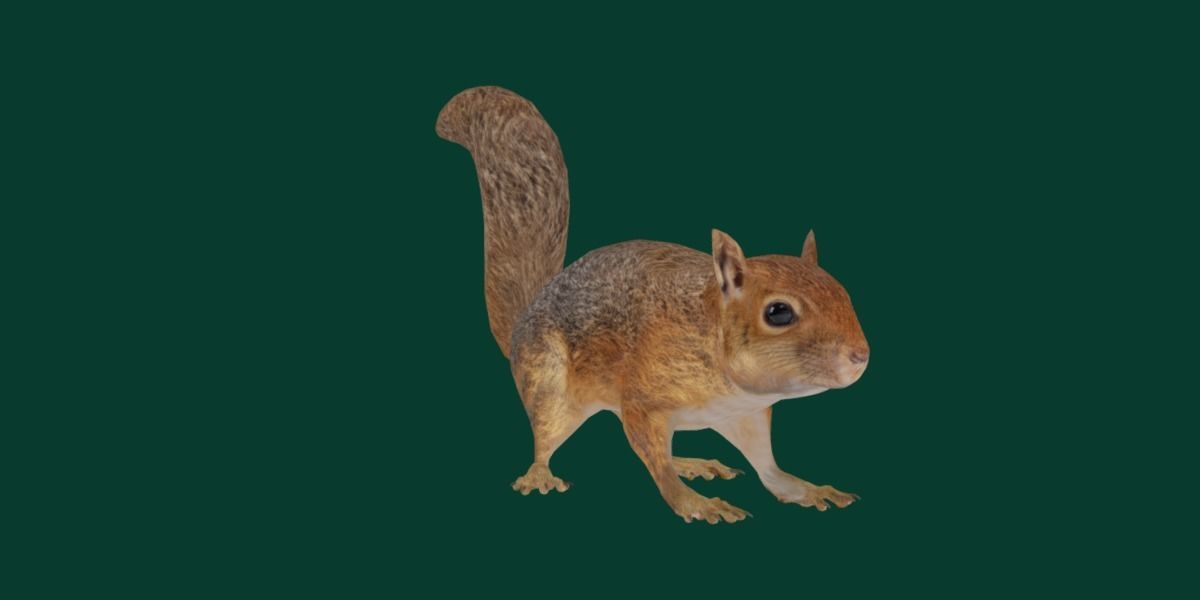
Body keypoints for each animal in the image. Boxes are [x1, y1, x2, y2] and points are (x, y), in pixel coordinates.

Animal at [436, 86, 869, 524]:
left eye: (844, 293)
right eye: (778, 312)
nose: (860, 356)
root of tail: (521, 324)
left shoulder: (745, 415)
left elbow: (768, 468)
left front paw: (808, 488)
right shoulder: (644, 399)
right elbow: (656, 462)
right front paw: (696, 503)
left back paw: (693, 462)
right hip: (549, 386)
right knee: (547, 438)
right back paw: (541, 474)